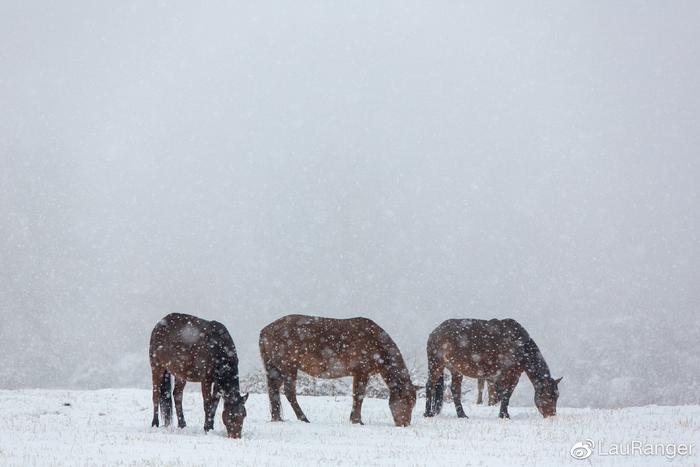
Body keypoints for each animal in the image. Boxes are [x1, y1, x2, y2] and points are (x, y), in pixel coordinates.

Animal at [260, 314, 418, 428]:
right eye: (406, 401)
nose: (404, 424)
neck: (376, 343)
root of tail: (265, 330)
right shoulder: (361, 372)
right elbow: (359, 396)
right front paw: (357, 421)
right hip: (289, 368)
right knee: (289, 393)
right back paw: (304, 419)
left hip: (275, 369)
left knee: (274, 392)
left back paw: (277, 419)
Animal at [424, 320, 560, 418]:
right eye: (548, 396)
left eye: (557, 396)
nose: (552, 416)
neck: (520, 346)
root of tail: (434, 332)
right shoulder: (504, 375)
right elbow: (503, 394)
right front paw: (503, 415)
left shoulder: (515, 375)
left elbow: (507, 395)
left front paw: (505, 414)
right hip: (436, 365)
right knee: (430, 385)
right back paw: (428, 413)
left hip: (456, 370)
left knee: (455, 390)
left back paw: (462, 415)